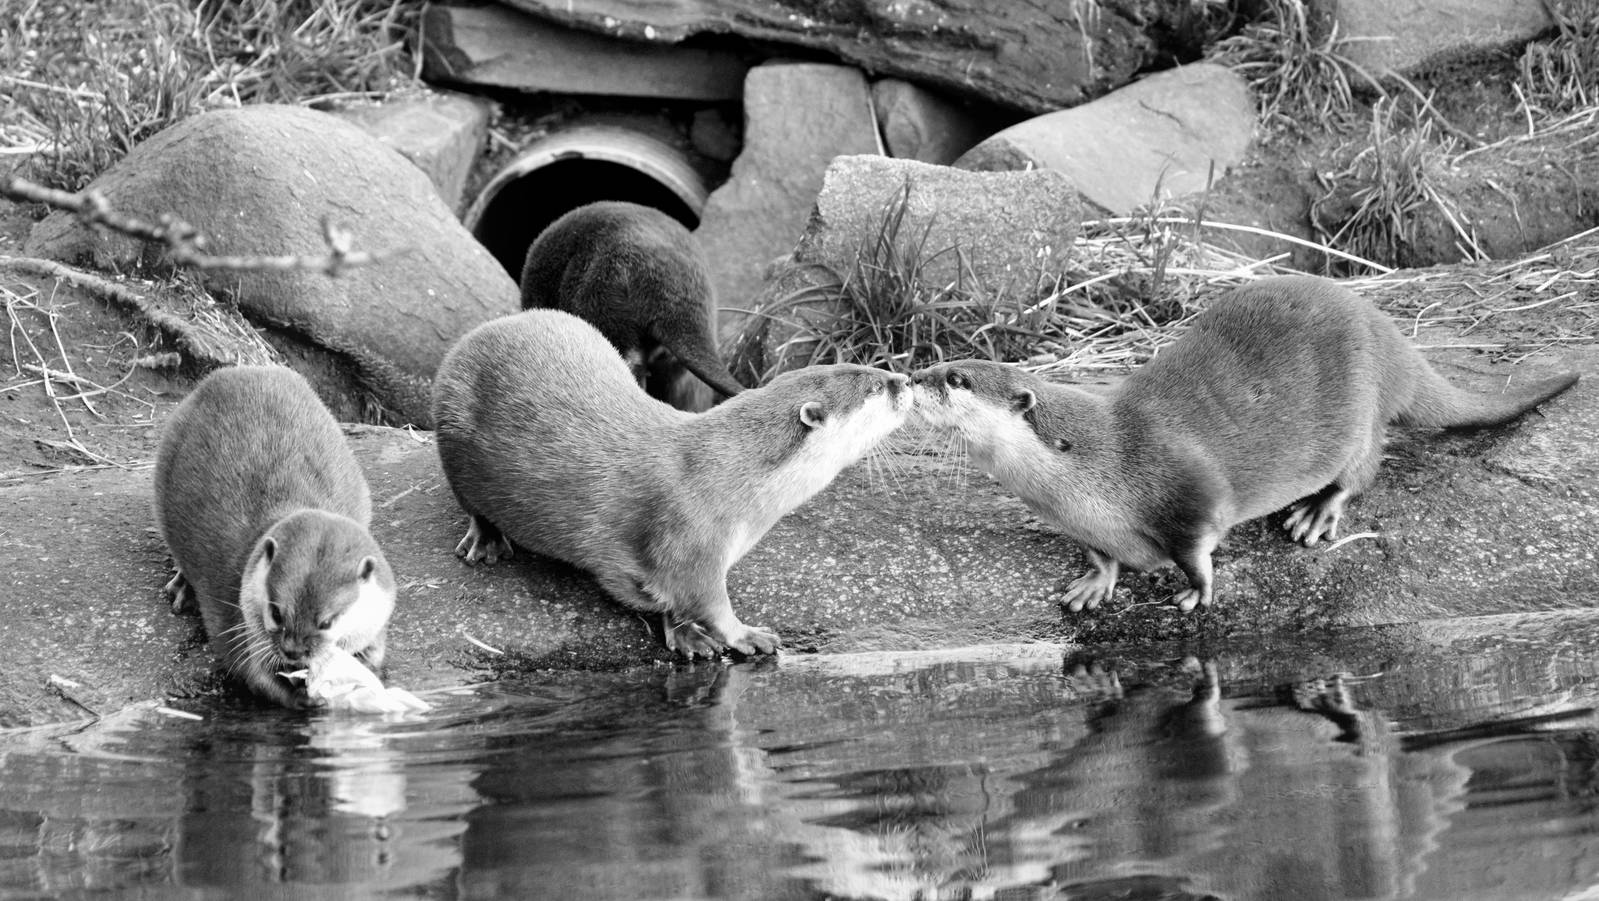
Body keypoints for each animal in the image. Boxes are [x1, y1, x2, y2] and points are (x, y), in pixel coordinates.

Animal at [153, 366, 396, 707]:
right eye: (276, 613)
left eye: (326, 622)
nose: (293, 652)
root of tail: (239, 369)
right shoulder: (243, 624)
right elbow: (255, 676)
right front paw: (309, 696)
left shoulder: (380, 609)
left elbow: (376, 651)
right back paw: (183, 588)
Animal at [432, 308, 913, 657]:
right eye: (874, 386)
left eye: (873, 369)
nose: (907, 378)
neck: (729, 477)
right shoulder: (689, 539)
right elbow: (706, 601)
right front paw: (746, 634)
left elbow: (671, 602)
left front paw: (685, 636)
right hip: (451, 426)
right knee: (469, 498)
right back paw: (486, 541)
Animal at [912, 275, 1579, 613]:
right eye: (941, 366)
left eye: (956, 378)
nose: (910, 378)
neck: (1099, 468)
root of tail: (1384, 327)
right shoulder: (1083, 523)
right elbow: (1102, 555)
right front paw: (1095, 582)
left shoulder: (1186, 489)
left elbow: (1198, 544)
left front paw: (1198, 591)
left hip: (1359, 411)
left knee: (1364, 468)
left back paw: (1316, 513)